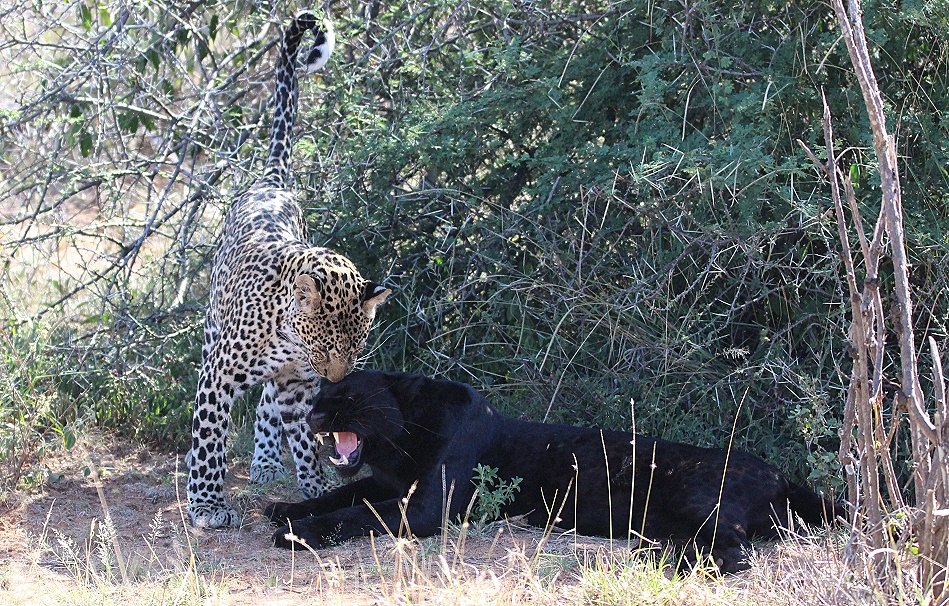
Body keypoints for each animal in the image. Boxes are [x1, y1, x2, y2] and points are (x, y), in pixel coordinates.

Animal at [187, 12, 390, 529]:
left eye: (357, 345)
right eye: (325, 345)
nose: (336, 381)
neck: (289, 341)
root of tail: (271, 180)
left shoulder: (299, 388)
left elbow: (303, 438)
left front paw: (315, 488)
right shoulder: (218, 376)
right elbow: (210, 439)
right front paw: (207, 506)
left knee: (266, 407)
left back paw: (264, 463)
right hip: (212, 330)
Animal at [265, 370, 844, 573]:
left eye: (348, 396)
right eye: (321, 395)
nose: (312, 413)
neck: (403, 436)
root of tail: (781, 476)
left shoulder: (426, 506)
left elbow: (360, 514)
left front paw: (297, 534)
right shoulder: (387, 482)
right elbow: (336, 497)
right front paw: (284, 509)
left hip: (694, 500)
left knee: (734, 553)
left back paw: (659, 564)